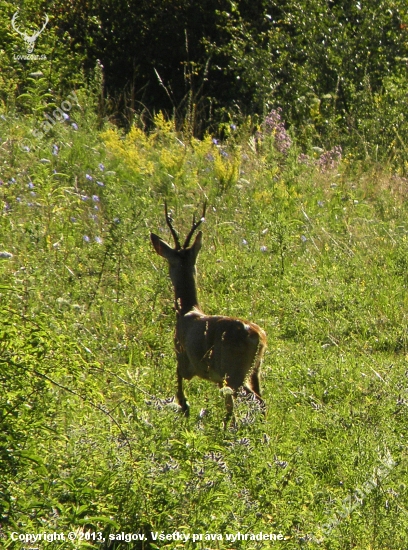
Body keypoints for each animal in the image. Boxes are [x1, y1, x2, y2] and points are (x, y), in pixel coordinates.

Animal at [151, 205, 266, 424]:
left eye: (170, 263)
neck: (187, 311)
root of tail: (257, 336)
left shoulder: (183, 356)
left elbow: (179, 379)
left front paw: (184, 406)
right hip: (254, 371)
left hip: (233, 372)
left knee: (253, 401)